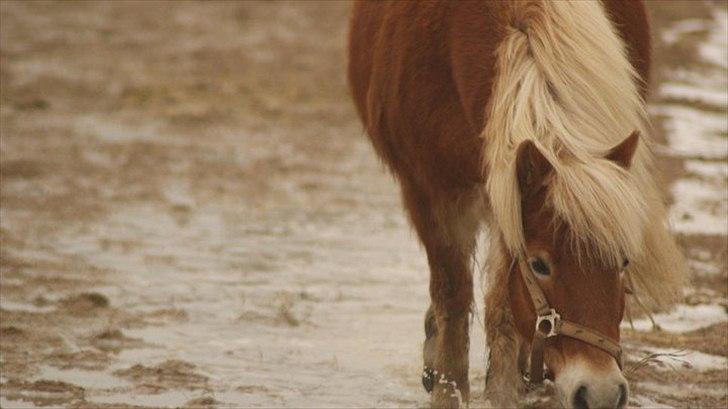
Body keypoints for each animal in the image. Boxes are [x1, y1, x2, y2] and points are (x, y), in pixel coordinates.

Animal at [350, 0, 684, 408]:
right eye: (539, 265)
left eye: (623, 261)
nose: (601, 393)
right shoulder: (433, 191)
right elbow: (453, 295)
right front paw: (450, 391)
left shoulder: (506, 195)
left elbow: (502, 308)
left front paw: (503, 392)